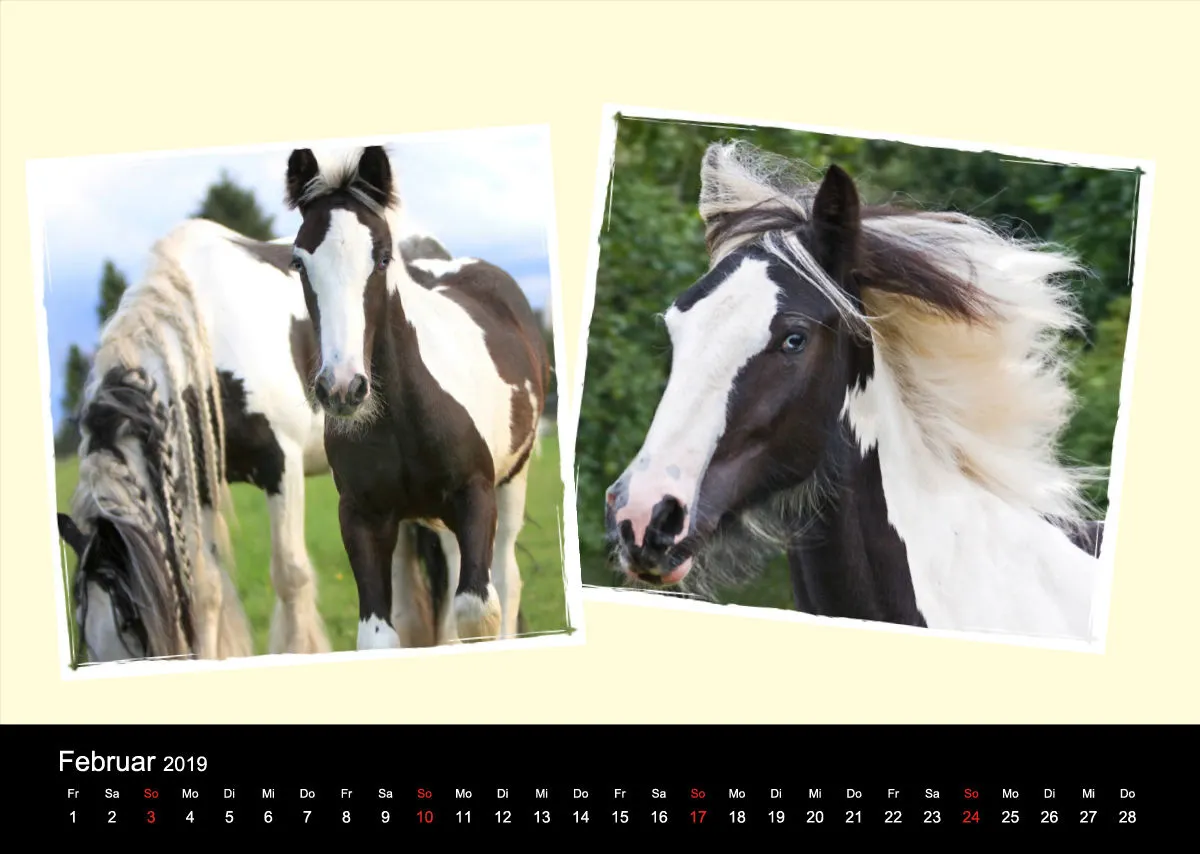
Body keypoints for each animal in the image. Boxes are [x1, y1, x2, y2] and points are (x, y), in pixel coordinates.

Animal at [55, 215, 462, 662]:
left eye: (130, 622)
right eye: (83, 632)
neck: (208, 336)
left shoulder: (283, 465)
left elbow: (290, 575)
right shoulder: (201, 486)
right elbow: (207, 588)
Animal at [283, 144, 550, 650]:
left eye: (383, 258)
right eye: (299, 263)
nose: (343, 389)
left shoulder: (476, 495)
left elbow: (478, 612)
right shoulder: (363, 516)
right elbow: (381, 633)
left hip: (512, 484)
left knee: (507, 580)